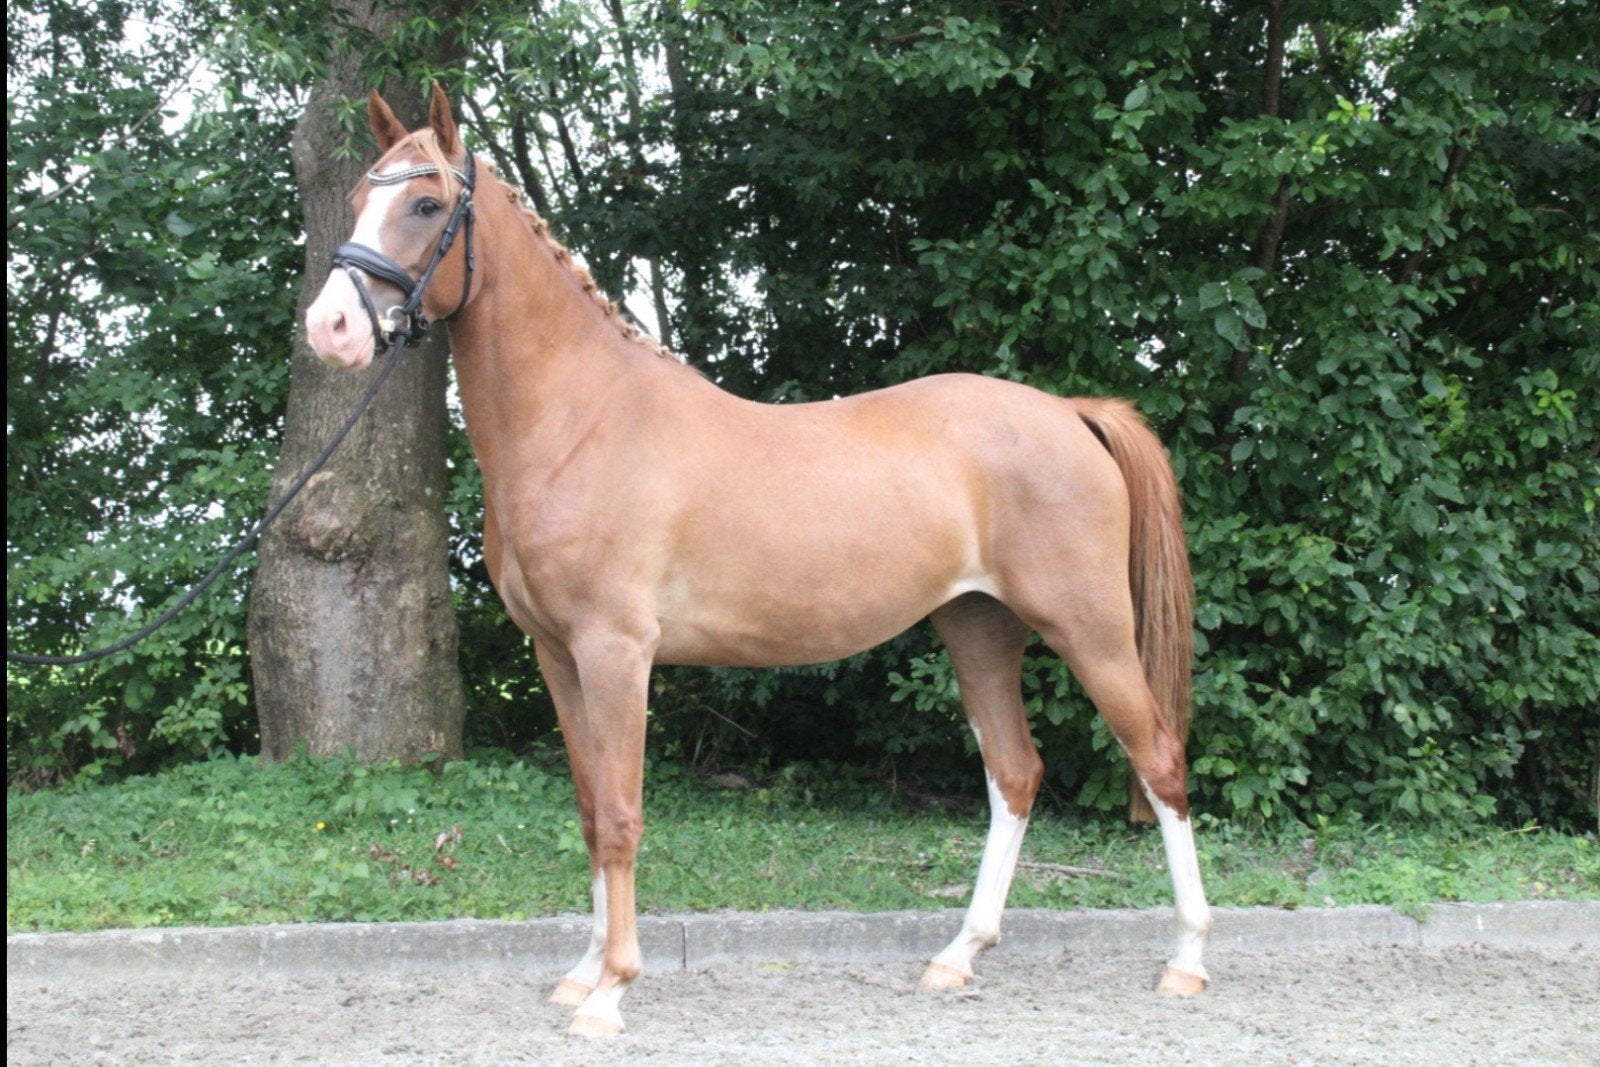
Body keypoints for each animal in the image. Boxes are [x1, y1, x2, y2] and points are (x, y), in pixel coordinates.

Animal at [304, 86, 1213, 1037]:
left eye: (426, 203)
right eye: (361, 193)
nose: (330, 327)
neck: (581, 421)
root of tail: (1069, 411)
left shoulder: (616, 653)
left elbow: (621, 814)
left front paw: (613, 989)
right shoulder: (557, 656)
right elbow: (590, 810)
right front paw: (583, 972)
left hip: (1090, 628)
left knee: (1158, 759)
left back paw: (1186, 959)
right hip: (979, 629)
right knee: (1015, 773)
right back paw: (957, 954)